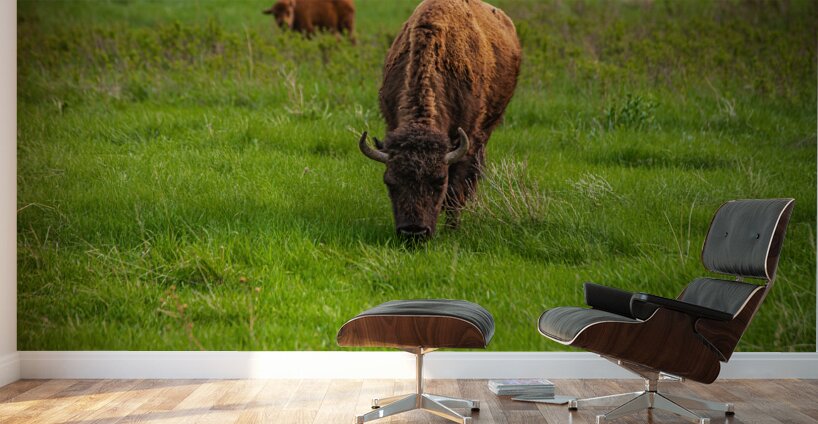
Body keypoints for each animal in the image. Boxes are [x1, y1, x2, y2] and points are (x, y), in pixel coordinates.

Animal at [359, 0, 521, 239]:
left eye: (439, 180)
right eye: (389, 182)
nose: (414, 232)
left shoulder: (467, 141)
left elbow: (456, 189)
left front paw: (452, 229)